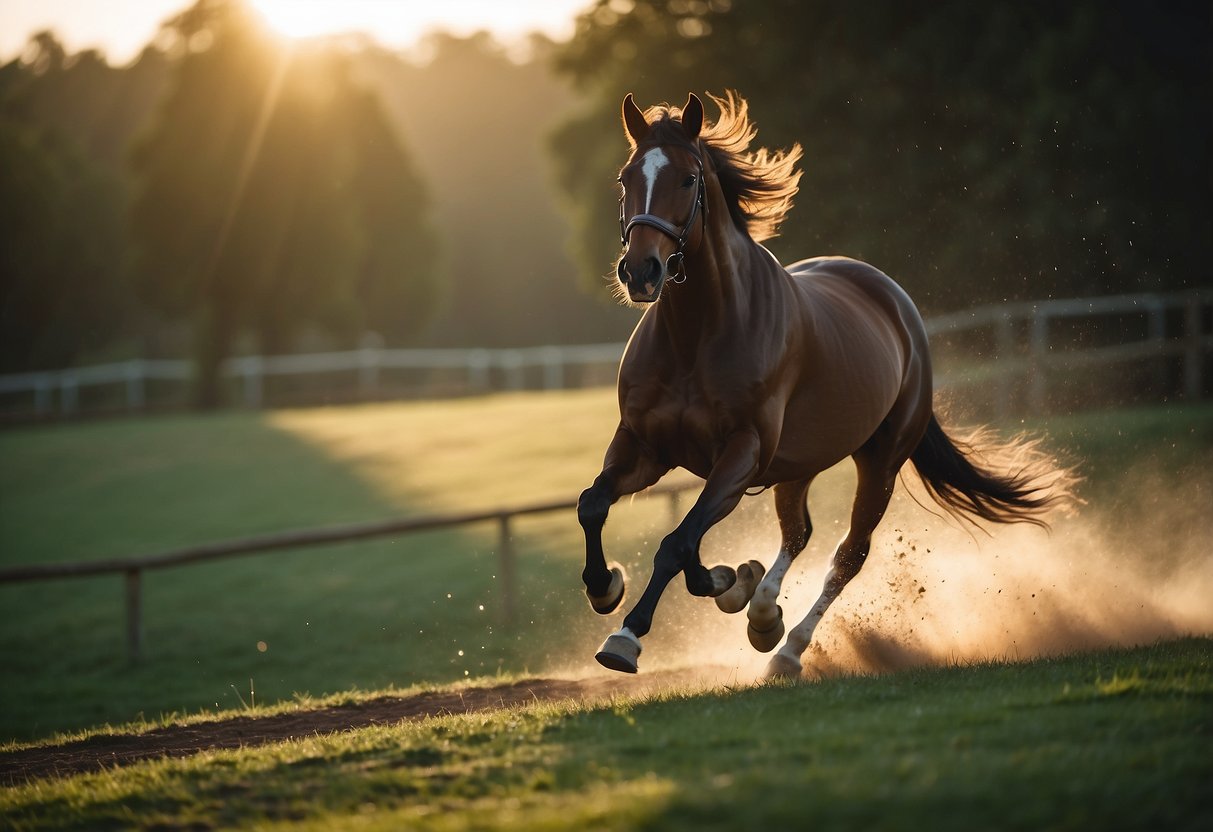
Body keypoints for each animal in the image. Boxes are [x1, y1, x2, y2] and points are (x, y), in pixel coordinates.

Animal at [577, 90, 1072, 679]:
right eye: (626, 177)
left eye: (688, 179)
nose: (641, 272)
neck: (698, 335)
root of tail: (896, 304)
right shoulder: (645, 445)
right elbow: (597, 505)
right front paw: (616, 587)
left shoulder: (742, 454)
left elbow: (678, 543)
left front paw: (626, 636)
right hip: (798, 466)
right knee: (799, 534)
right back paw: (762, 614)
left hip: (880, 464)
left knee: (847, 554)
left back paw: (786, 649)